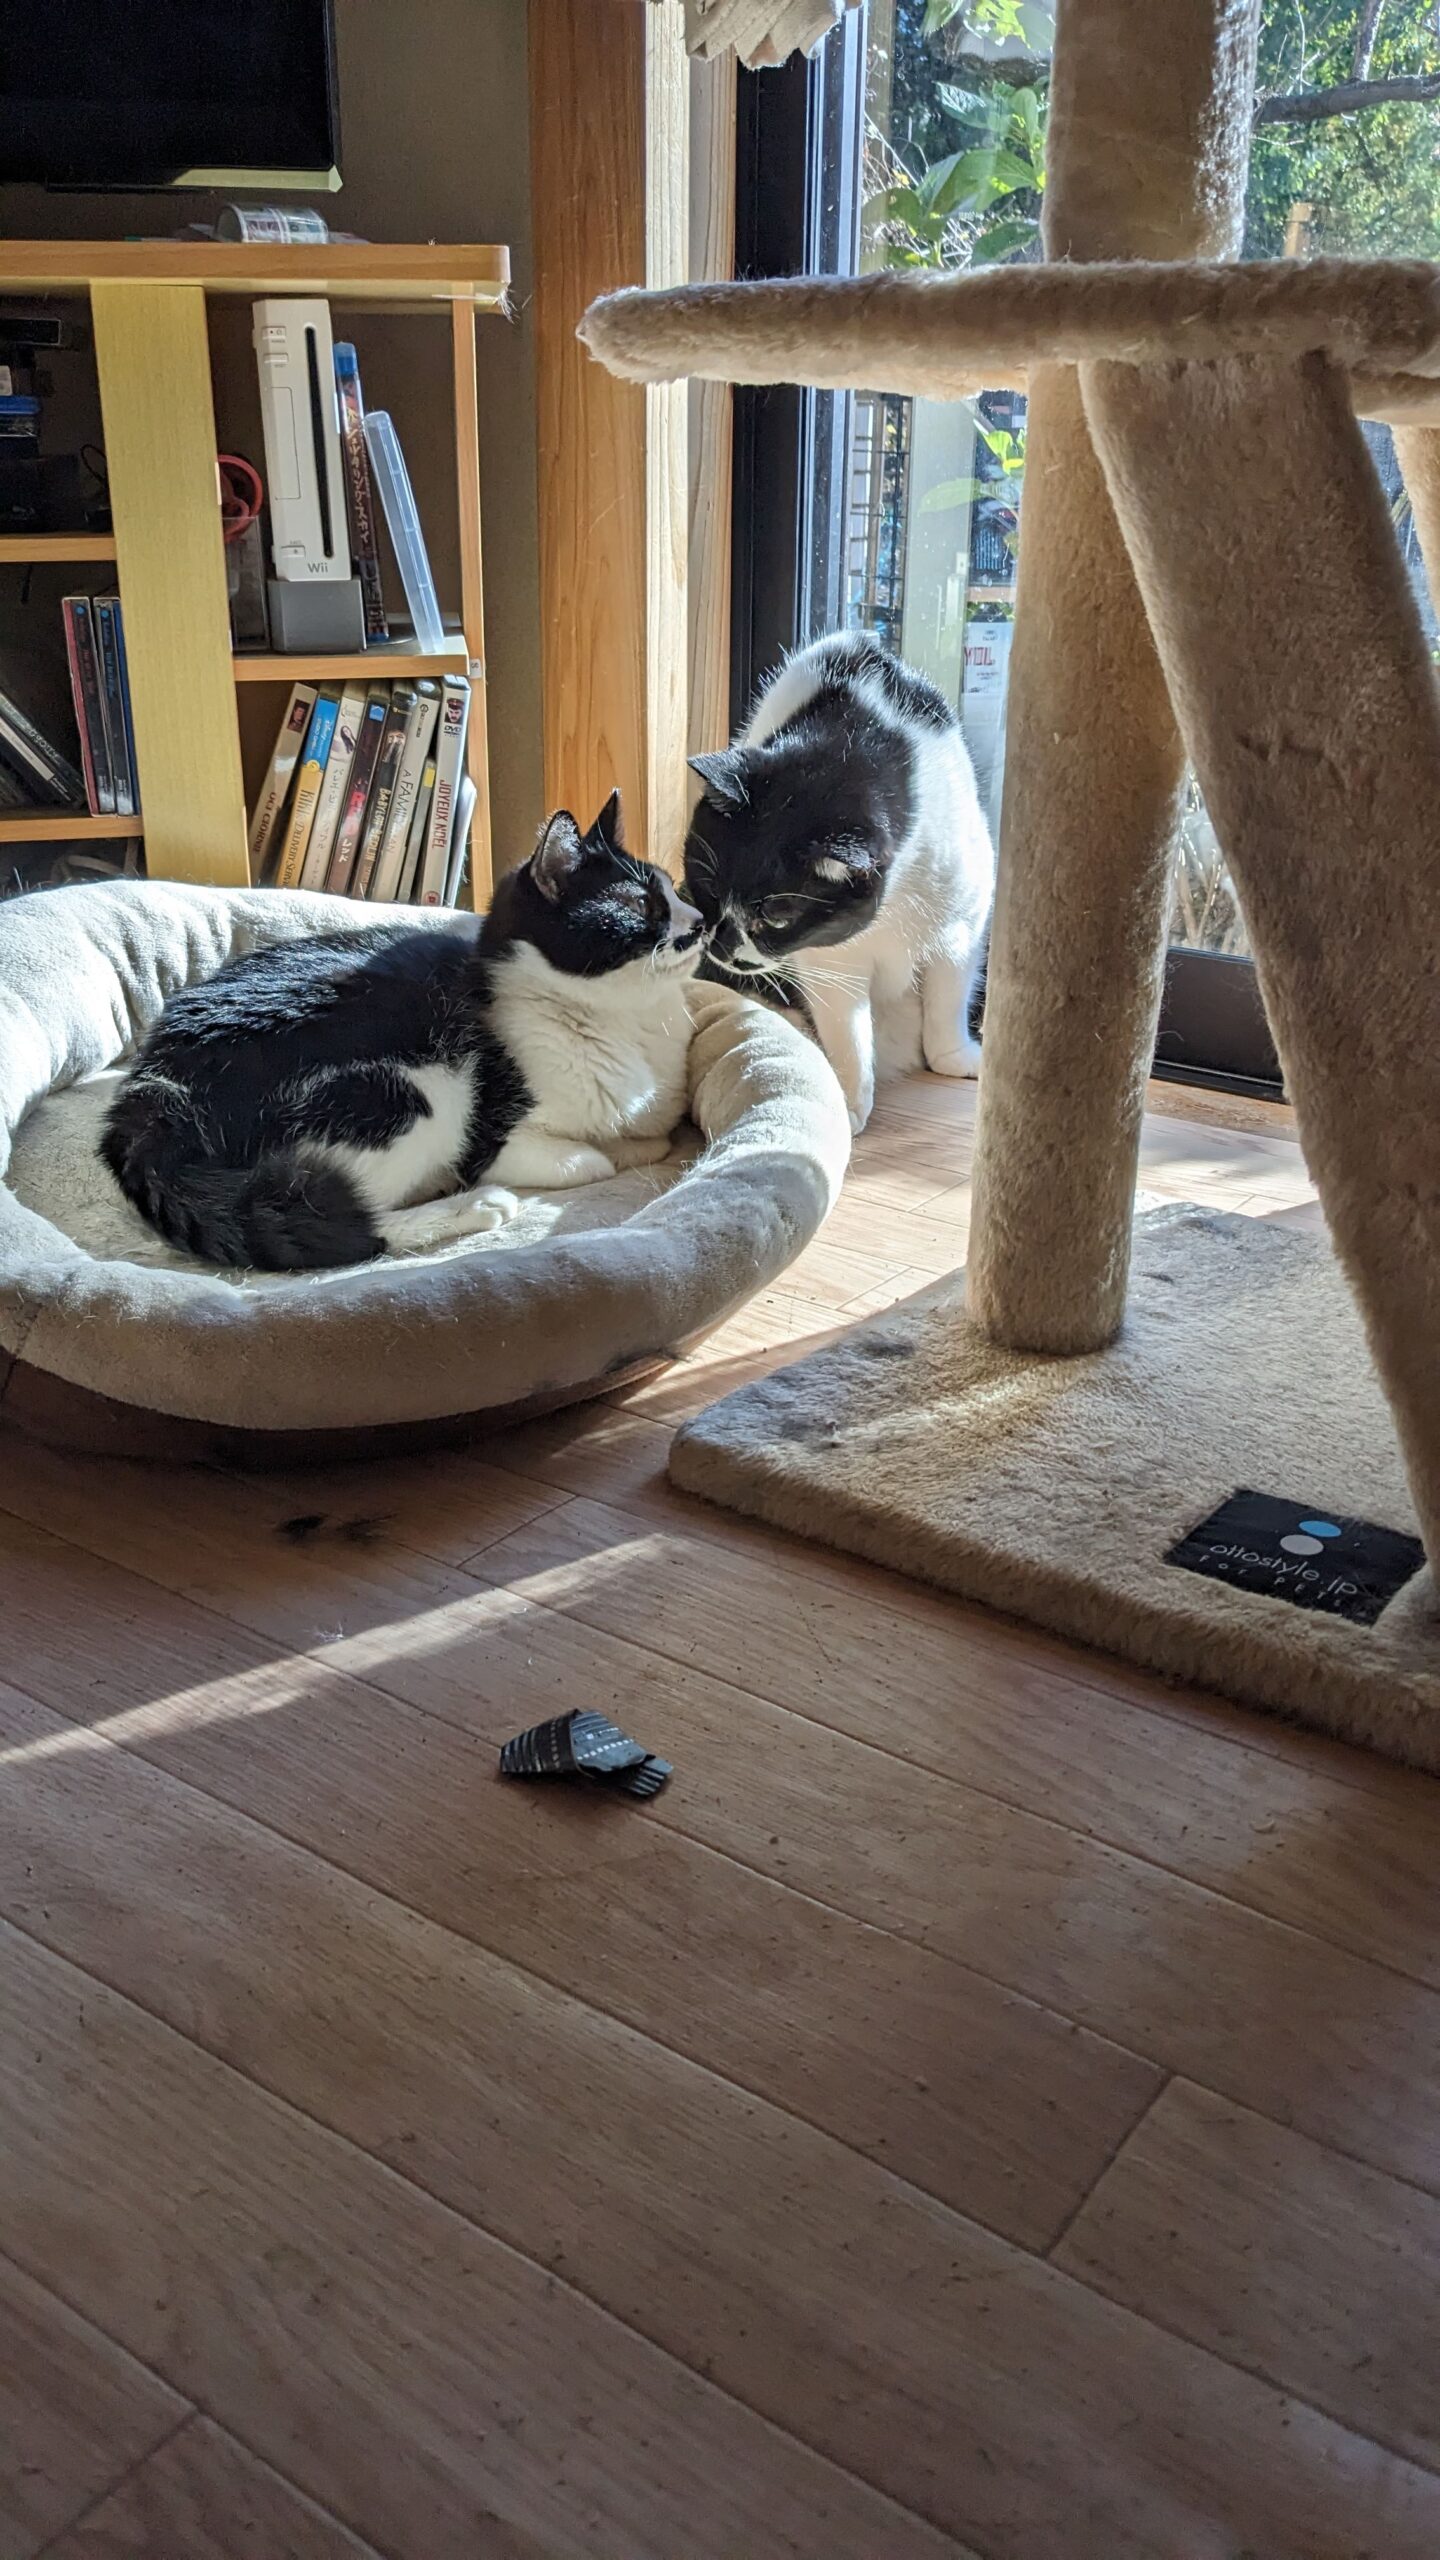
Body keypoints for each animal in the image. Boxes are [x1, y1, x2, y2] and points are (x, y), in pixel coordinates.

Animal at [100, 792, 704, 1272]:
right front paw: (611, 1151)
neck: (628, 1026)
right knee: (343, 1223)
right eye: (641, 904)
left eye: (674, 890)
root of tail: (150, 1094)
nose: (700, 921)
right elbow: (595, 1157)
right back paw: (469, 1207)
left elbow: (654, 1134)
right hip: (412, 1093)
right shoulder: (501, 1141)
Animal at [683, 630, 995, 1133]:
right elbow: (846, 1034)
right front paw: (846, 1104)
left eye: (777, 917)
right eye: (709, 891)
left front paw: (954, 1057)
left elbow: (949, 997)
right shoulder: (831, 962)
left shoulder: (963, 928)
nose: (722, 949)